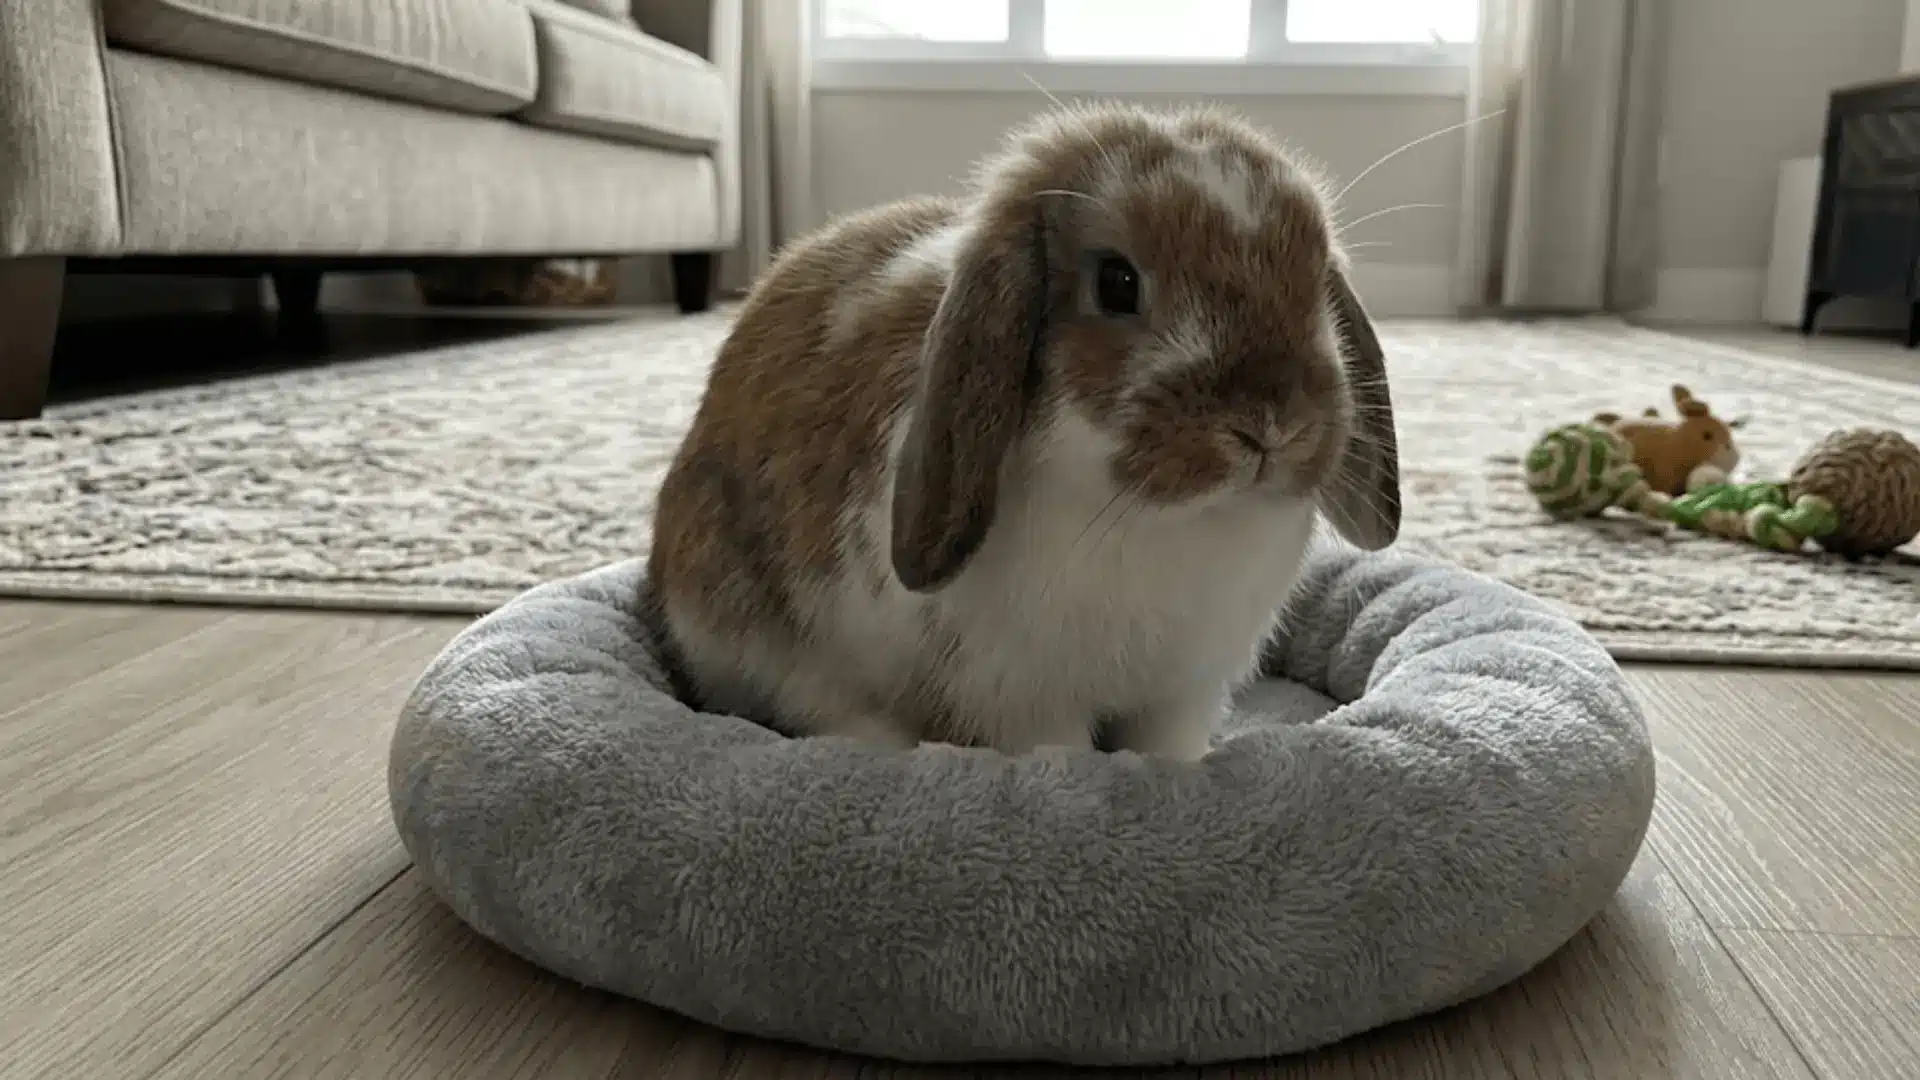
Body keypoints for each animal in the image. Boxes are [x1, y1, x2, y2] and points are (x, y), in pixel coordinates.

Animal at [646, 102, 1400, 760]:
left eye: (1314, 282)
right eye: (1117, 282)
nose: (1273, 427)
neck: (1172, 519)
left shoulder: (1182, 693)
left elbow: (1170, 752)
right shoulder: (1025, 701)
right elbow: (1061, 756)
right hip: (756, 642)